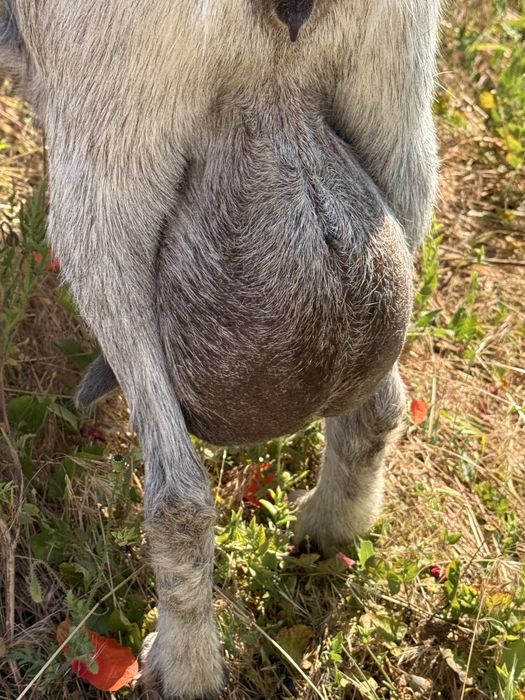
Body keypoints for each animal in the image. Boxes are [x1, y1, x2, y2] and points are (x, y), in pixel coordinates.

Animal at [1, 0, 442, 697]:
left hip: (107, 164)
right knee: (379, 409)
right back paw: (330, 528)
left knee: (178, 495)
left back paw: (185, 665)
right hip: (399, 121)